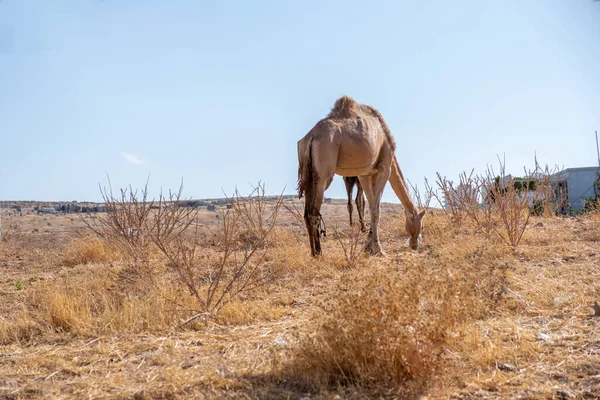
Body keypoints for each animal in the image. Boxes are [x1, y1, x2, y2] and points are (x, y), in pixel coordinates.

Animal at [298, 95, 424, 255]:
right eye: (421, 225)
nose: (414, 244)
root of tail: (311, 136)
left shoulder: (364, 174)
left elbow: (370, 204)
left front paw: (368, 245)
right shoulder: (385, 167)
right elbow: (376, 209)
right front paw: (378, 249)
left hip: (308, 174)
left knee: (307, 212)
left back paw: (313, 253)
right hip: (324, 172)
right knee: (314, 213)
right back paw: (319, 253)